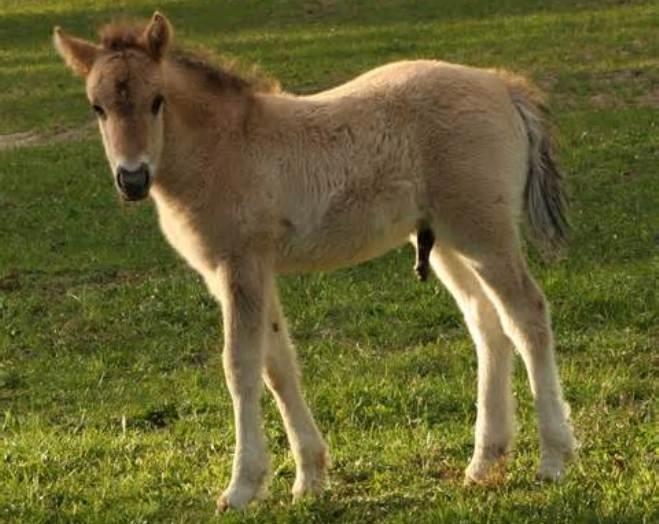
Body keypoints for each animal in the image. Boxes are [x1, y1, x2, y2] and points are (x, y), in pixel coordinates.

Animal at [54, 12, 576, 510]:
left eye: (157, 100)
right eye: (97, 107)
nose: (132, 179)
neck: (224, 146)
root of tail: (501, 84)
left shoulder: (240, 265)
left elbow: (240, 367)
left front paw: (242, 486)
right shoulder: (249, 272)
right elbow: (279, 365)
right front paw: (309, 477)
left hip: (483, 234)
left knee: (527, 315)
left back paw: (554, 458)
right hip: (448, 241)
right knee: (487, 325)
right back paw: (484, 461)